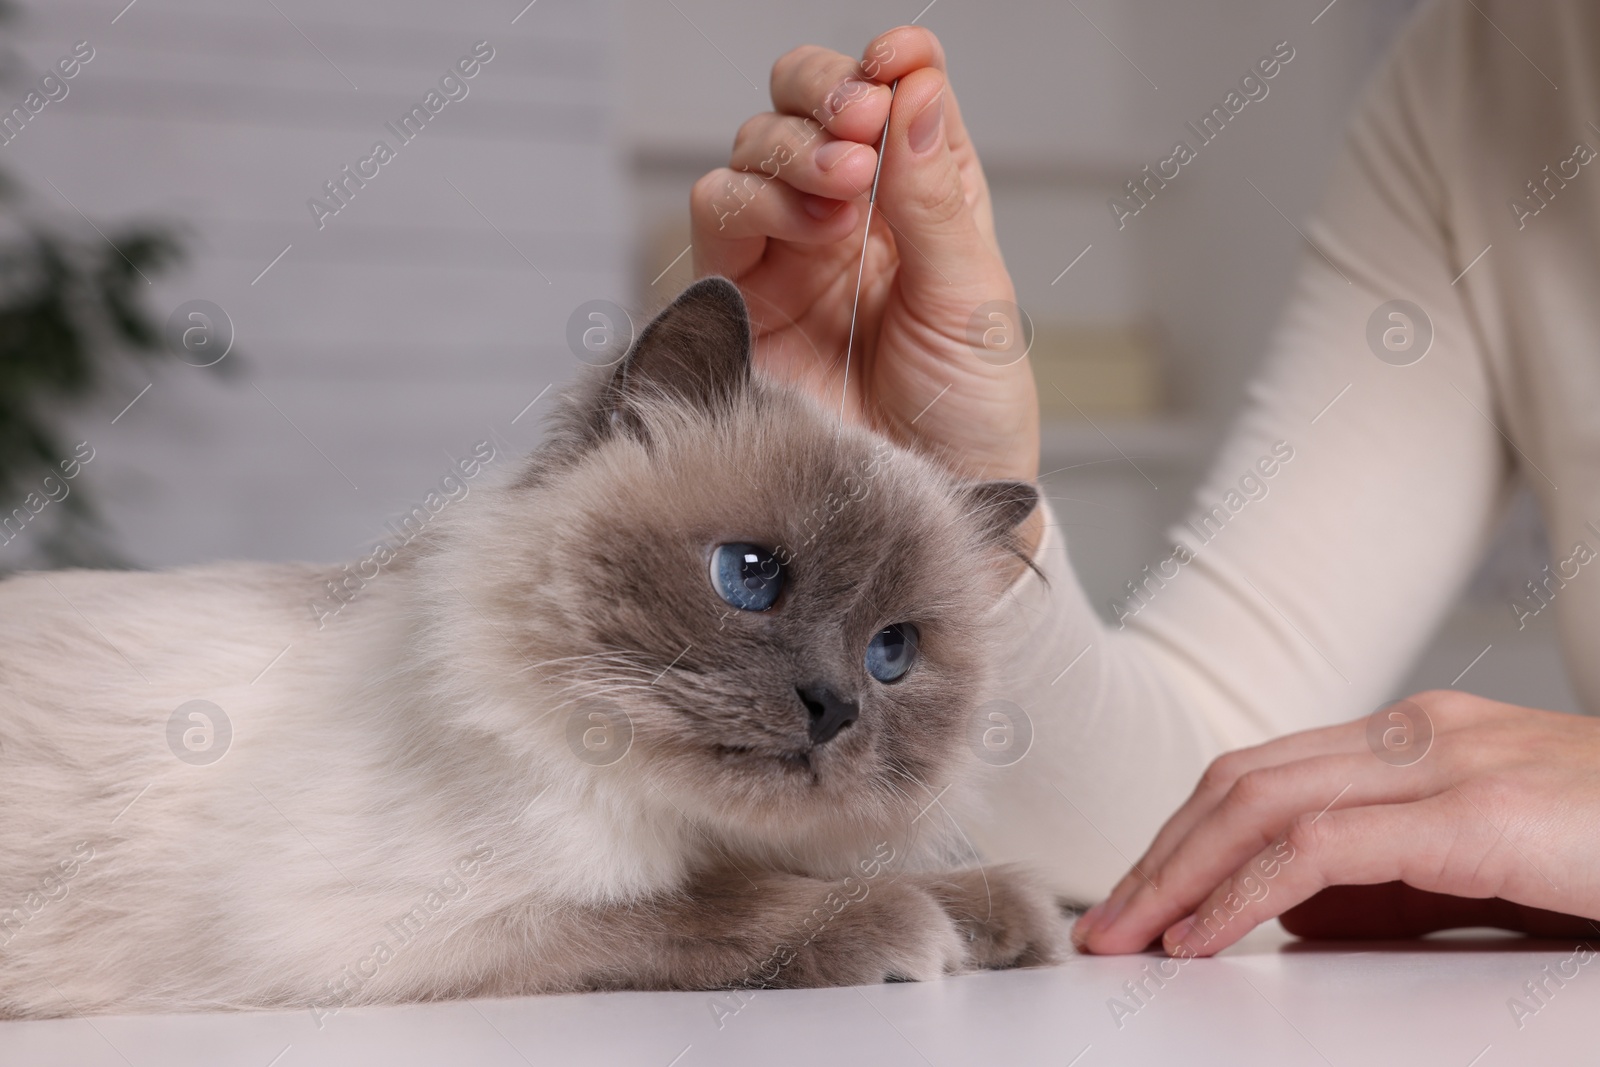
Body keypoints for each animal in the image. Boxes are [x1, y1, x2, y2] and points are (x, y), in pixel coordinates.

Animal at [0, 273, 1062, 1017]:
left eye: (893, 653)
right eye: (750, 575)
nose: (833, 705)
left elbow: (820, 872)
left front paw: (1013, 919)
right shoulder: (410, 925)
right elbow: (703, 905)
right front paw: (918, 930)